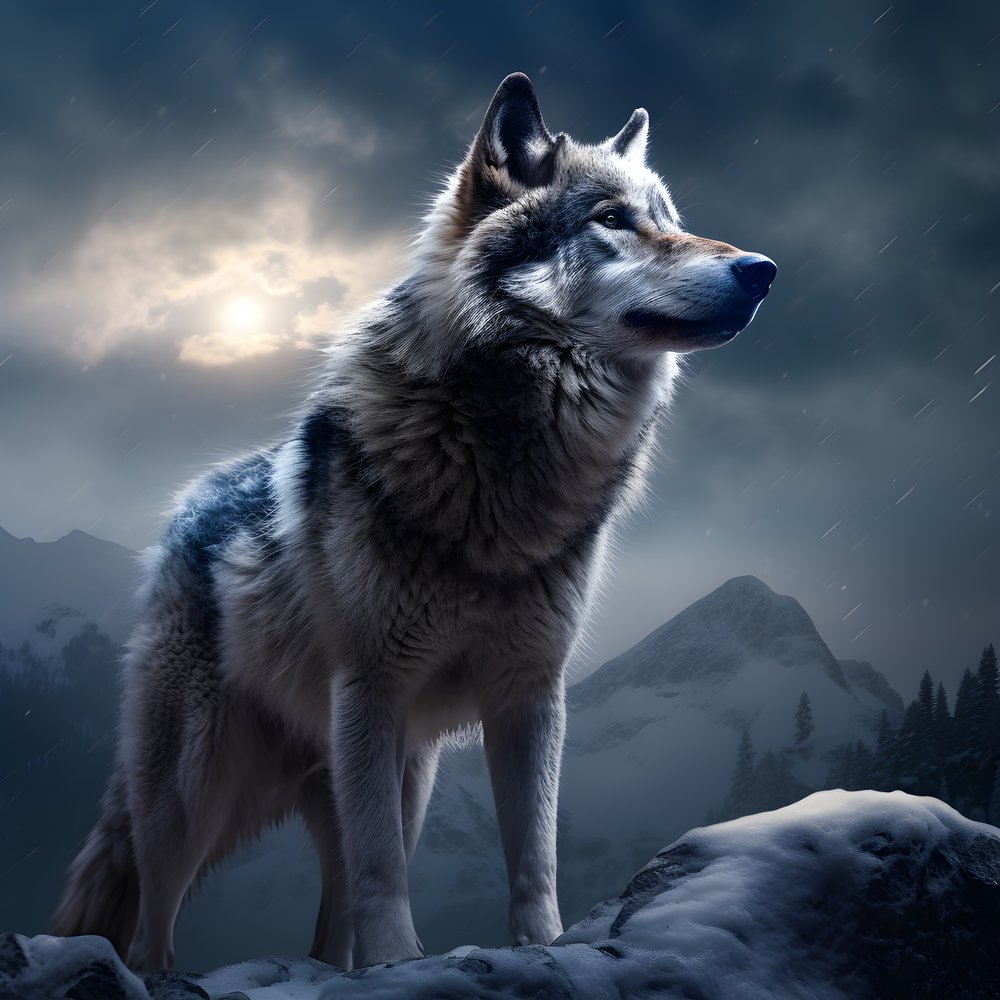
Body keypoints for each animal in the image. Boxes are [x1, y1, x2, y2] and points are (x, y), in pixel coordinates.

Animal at [52, 73, 775, 972]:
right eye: (611, 219)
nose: (763, 269)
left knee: (329, 919)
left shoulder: (531, 695)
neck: (499, 470)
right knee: (156, 921)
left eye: (670, 217)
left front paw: (543, 947)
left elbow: (533, 854)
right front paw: (401, 961)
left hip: (392, 774)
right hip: (197, 789)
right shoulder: (372, 686)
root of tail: (188, 507)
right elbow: (383, 869)